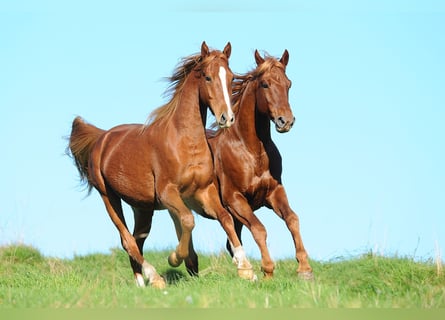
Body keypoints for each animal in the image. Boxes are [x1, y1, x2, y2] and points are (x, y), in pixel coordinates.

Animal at [66, 41, 253, 288]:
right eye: (207, 77)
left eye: (231, 78)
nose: (227, 118)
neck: (186, 142)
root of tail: (102, 137)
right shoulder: (167, 193)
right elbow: (188, 220)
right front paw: (175, 257)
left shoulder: (204, 191)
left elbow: (226, 218)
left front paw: (246, 269)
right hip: (108, 197)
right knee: (127, 240)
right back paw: (154, 278)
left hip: (142, 207)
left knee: (137, 240)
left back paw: (141, 282)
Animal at [206, 50, 312, 280]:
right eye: (265, 84)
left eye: (289, 84)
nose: (285, 121)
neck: (251, 152)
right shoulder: (235, 200)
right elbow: (259, 228)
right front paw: (268, 270)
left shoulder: (273, 192)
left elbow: (292, 219)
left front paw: (305, 269)